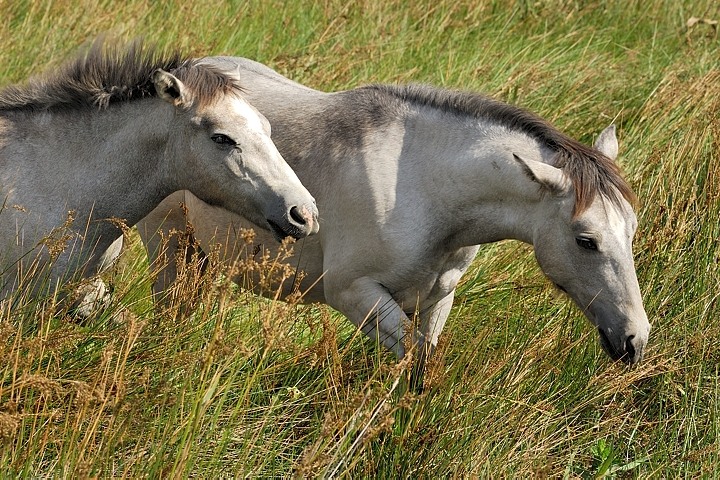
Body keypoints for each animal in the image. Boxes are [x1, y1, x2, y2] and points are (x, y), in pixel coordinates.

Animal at [138, 59, 648, 382]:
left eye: (631, 231)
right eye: (586, 240)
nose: (635, 340)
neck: (425, 186)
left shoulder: (436, 299)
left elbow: (420, 368)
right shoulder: (354, 293)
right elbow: (412, 368)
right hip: (170, 250)